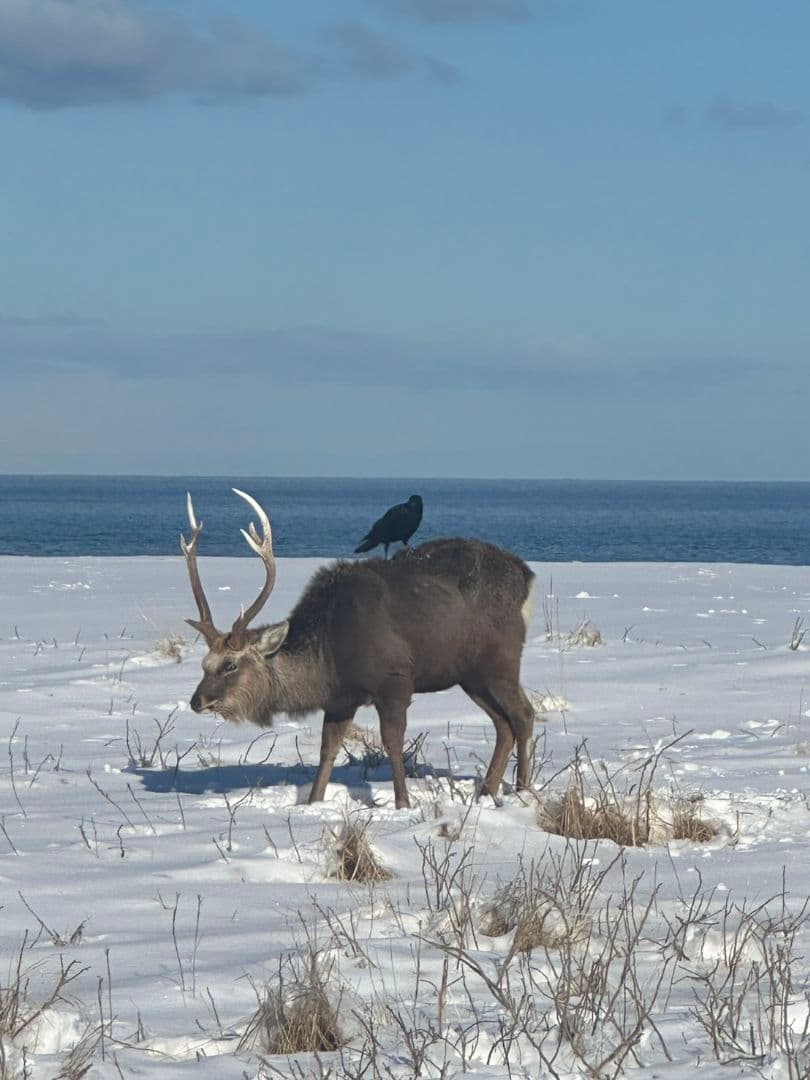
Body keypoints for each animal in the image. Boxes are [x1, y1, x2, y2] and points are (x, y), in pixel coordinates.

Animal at [181, 488, 537, 809]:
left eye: (230, 664)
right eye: (203, 664)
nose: (197, 701)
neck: (331, 656)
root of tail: (527, 578)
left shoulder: (394, 681)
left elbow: (392, 743)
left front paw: (403, 804)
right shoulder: (341, 697)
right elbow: (328, 748)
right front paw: (313, 802)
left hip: (501, 659)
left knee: (524, 714)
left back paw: (522, 790)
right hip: (470, 674)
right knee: (503, 724)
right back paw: (487, 792)